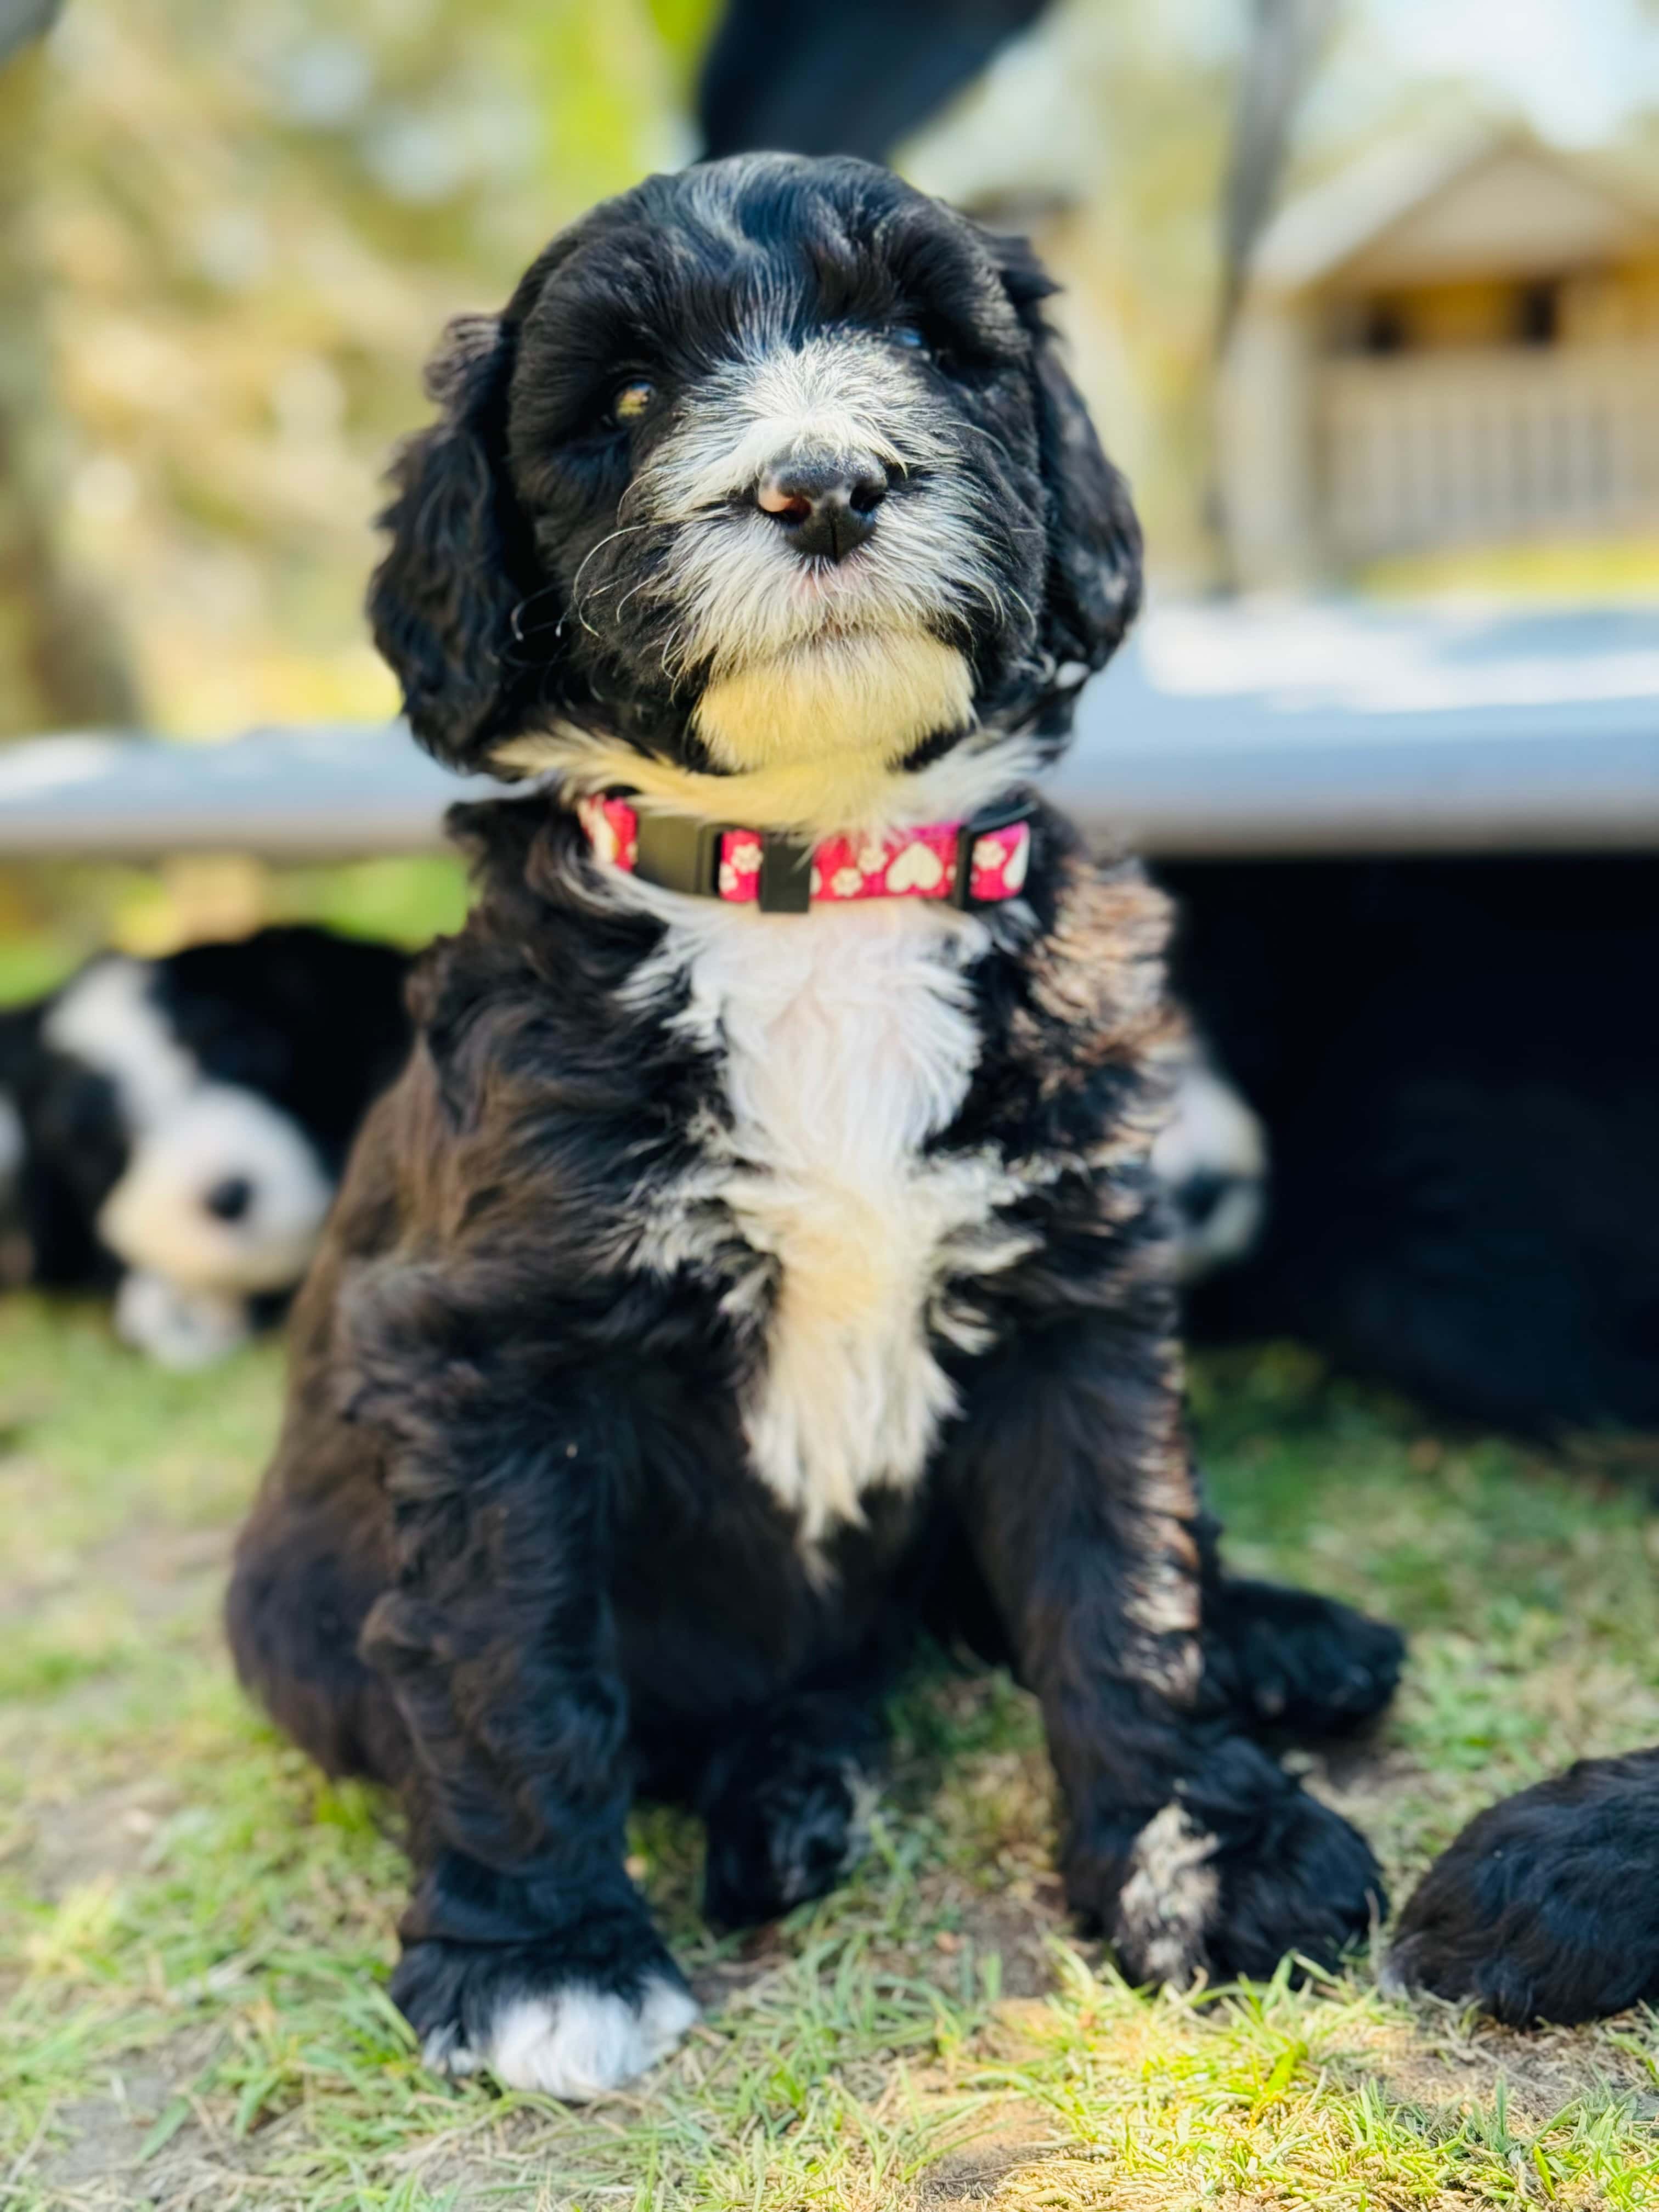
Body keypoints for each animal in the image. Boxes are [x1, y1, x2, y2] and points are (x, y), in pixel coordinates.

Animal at [231, 160, 1407, 2106]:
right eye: (629, 400)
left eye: (933, 343)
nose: (823, 484)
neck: (813, 874)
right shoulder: (493, 1362)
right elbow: (503, 1657)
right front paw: (545, 1958)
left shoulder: (1071, 1298)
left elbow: (1120, 1571)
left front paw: (1197, 1853)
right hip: (296, 1616)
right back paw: (785, 1794)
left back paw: (1279, 1643)